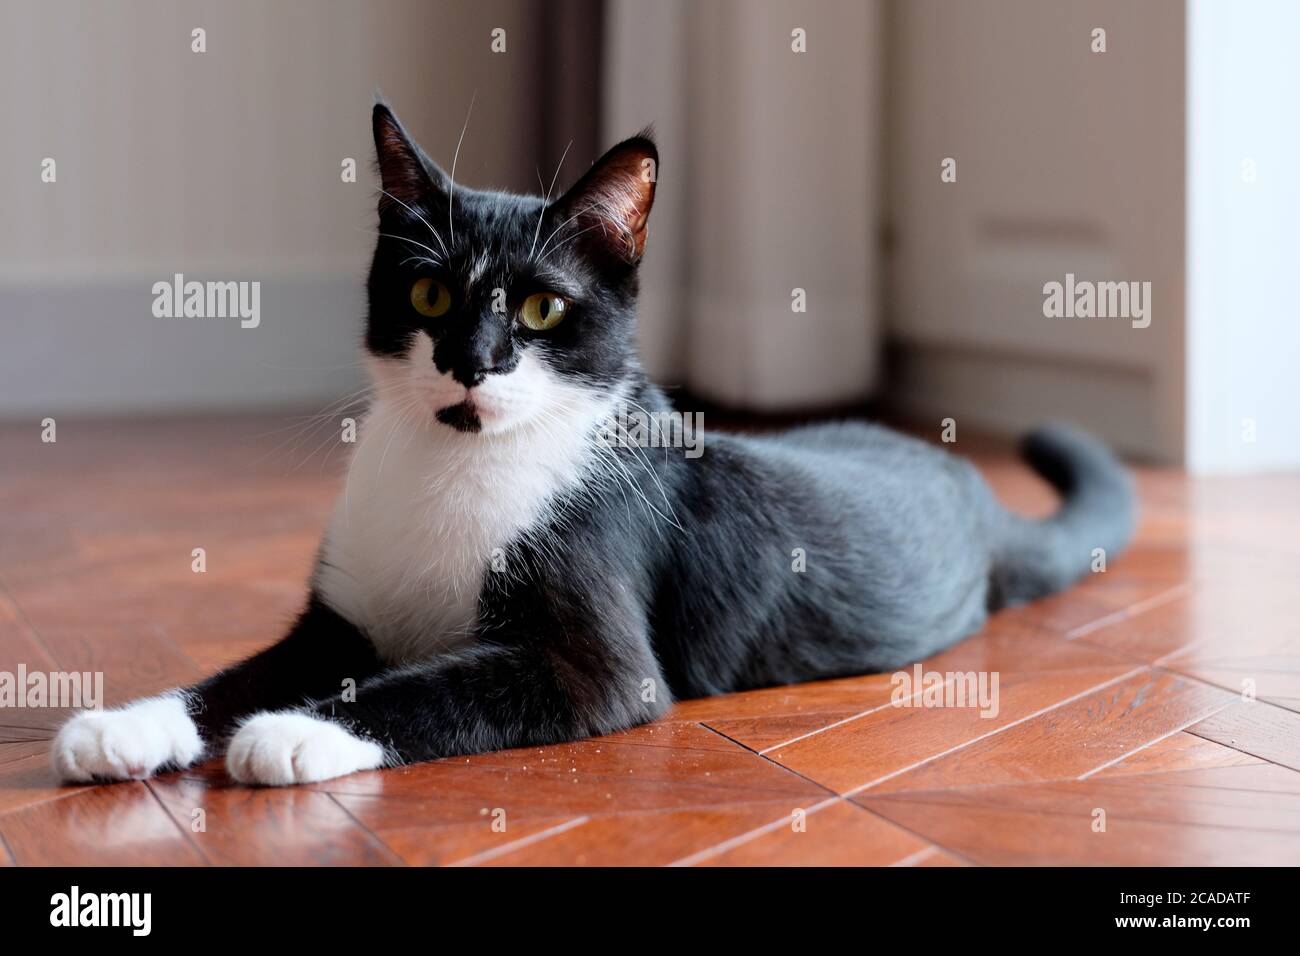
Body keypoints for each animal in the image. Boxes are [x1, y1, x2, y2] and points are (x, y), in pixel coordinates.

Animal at [50, 104, 1133, 790]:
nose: (472, 362)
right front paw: (128, 724)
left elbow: (435, 686)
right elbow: (237, 673)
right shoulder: (340, 619)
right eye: (429, 293)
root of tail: (968, 483)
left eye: (540, 308)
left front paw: (299, 730)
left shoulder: (599, 660)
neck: (453, 465)